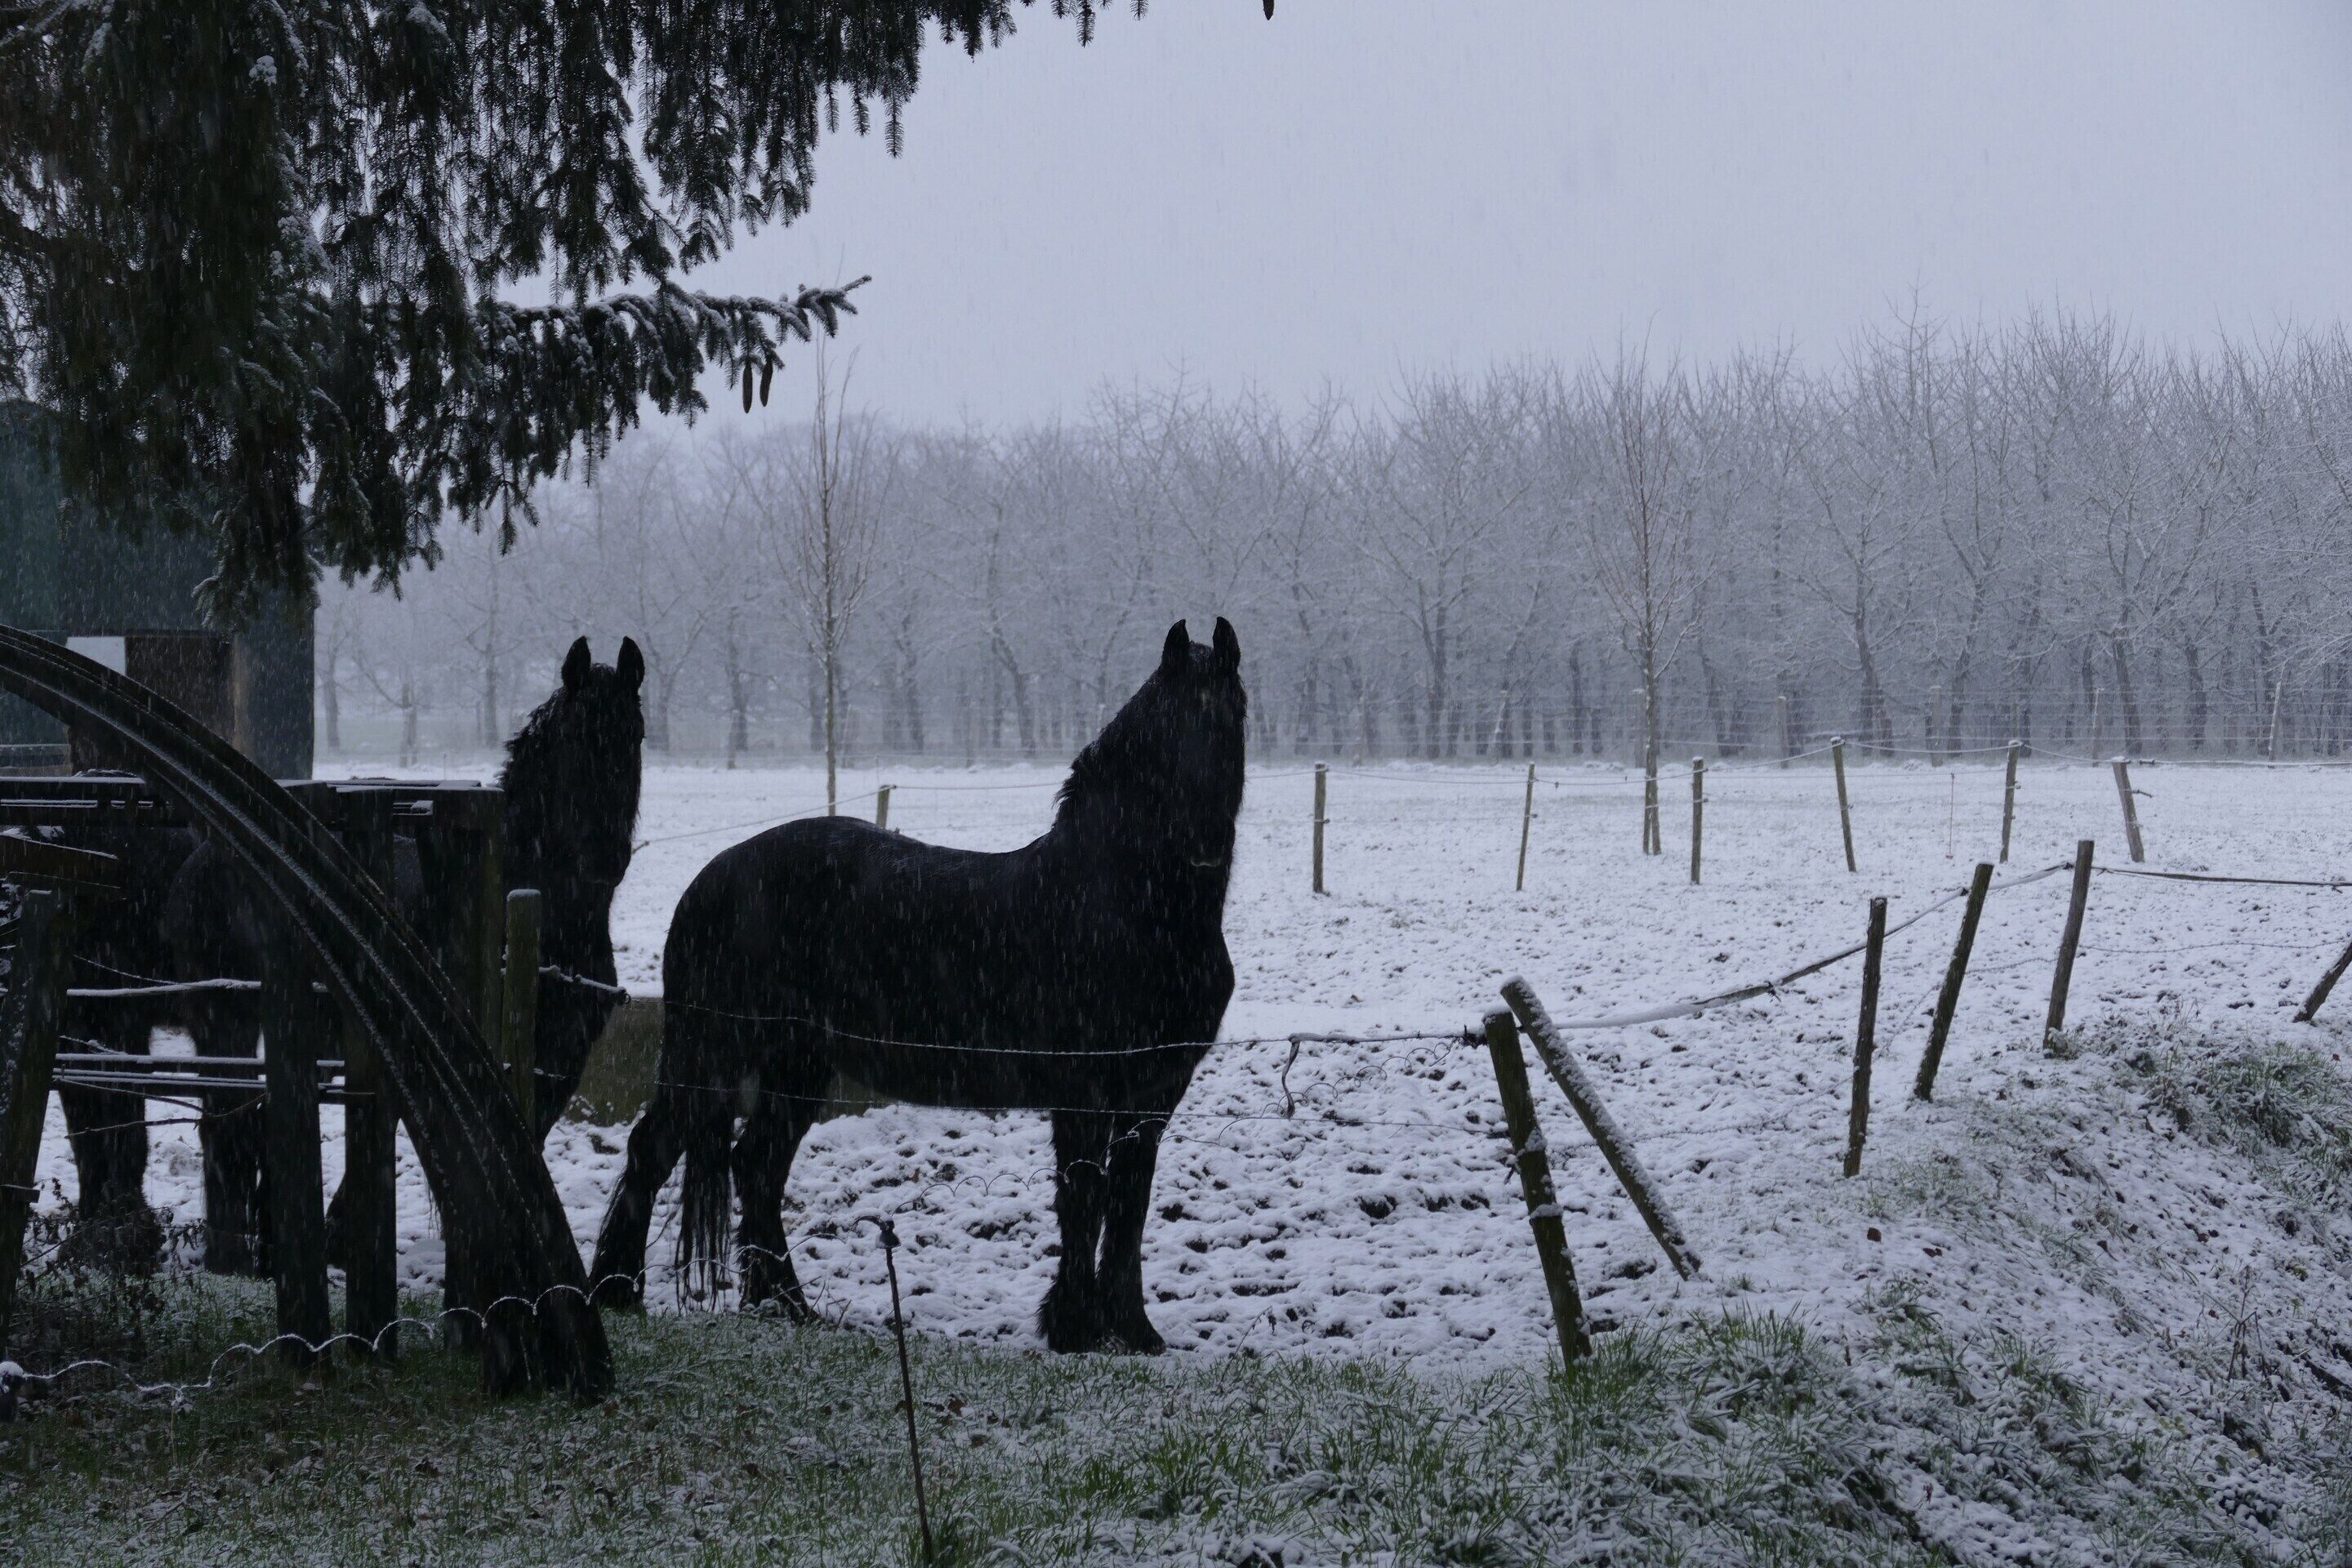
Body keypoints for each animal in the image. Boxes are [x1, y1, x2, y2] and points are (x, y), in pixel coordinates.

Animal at [158, 636, 643, 1273]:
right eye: (573, 742)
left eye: (634, 737)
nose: (605, 858)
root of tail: (206, 854)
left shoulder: (557, 1065)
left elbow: (523, 1157)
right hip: (226, 1020)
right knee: (227, 1128)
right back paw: (235, 1258)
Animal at [591, 619, 1244, 1354]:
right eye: (1166, 726)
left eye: (1229, 718)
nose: (1203, 842)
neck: (1128, 907)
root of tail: (711, 878)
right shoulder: (1084, 1091)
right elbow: (1084, 1196)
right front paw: (1074, 1328)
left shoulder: (1153, 1095)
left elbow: (1130, 1205)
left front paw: (1133, 1329)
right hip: (714, 1049)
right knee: (657, 1149)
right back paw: (617, 1293)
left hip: (797, 1065)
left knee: (754, 1165)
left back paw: (786, 1305)